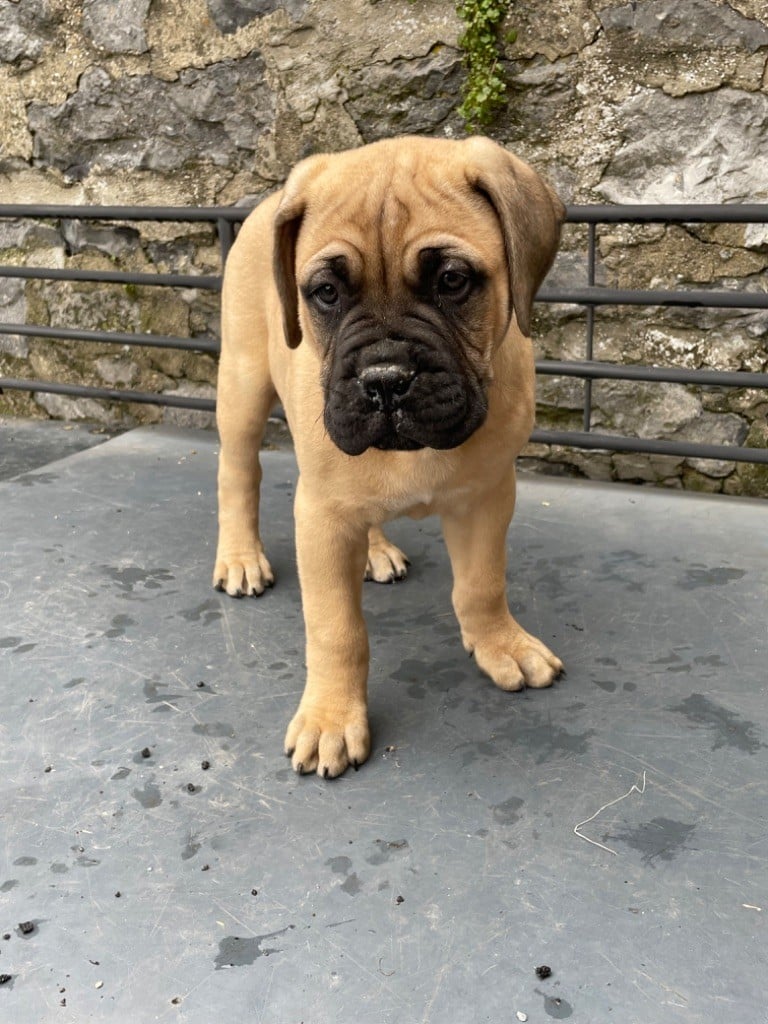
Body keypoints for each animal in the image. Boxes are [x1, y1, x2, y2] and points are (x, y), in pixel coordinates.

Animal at [213, 135, 566, 778]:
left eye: (452, 280)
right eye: (326, 293)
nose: (384, 379)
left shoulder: (487, 497)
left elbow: (482, 584)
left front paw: (500, 644)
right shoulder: (322, 518)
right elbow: (336, 629)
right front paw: (331, 717)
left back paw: (374, 551)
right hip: (243, 388)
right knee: (238, 473)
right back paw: (241, 557)